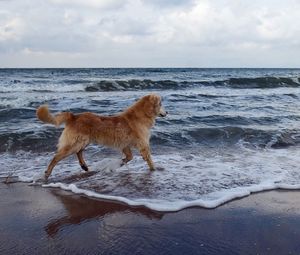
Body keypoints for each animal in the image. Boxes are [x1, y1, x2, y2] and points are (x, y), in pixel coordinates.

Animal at [36, 93, 168, 179]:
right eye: (161, 104)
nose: (167, 112)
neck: (142, 114)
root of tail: (74, 116)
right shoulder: (143, 144)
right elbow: (149, 159)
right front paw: (154, 170)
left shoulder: (125, 145)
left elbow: (129, 157)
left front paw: (120, 163)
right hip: (75, 142)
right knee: (57, 157)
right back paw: (47, 173)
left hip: (84, 141)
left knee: (79, 152)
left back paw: (84, 166)